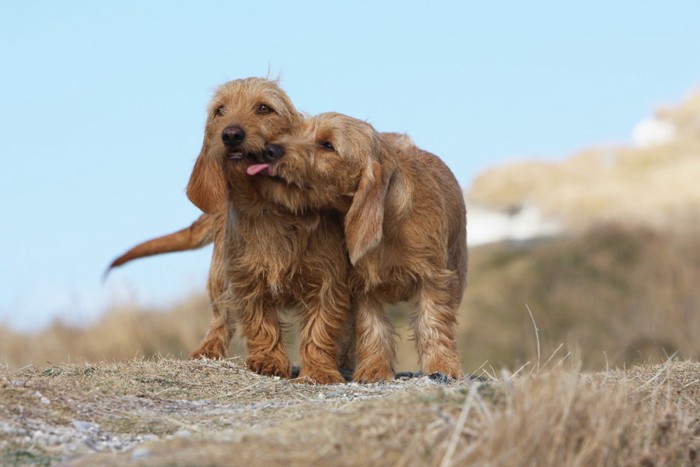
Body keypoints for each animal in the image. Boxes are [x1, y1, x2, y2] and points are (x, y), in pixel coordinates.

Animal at [182, 79, 348, 384]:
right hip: (219, 275)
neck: (269, 209)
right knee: (220, 317)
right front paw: (268, 360)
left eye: (263, 108)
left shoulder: (328, 281)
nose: (231, 134)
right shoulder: (245, 278)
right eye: (220, 110)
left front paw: (319, 369)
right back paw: (208, 348)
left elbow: (319, 327)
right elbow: (260, 322)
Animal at [262, 111, 470, 382]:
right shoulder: (363, 287)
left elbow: (432, 323)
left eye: (327, 145)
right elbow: (373, 328)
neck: (389, 224)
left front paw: (441, 365)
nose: (270, 150)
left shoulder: (433, 279)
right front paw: (374, 370)